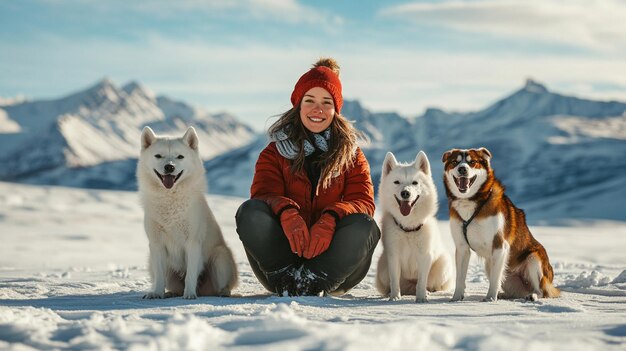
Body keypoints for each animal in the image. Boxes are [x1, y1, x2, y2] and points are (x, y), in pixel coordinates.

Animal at [138, 126, 238, 300]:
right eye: (158, 156)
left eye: (180, 156)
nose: (169, 167)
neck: (170, 199)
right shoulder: (156, 245)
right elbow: (159, 276)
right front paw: (156, 293)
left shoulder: (193, 242)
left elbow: (191, 274)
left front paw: (190, 294)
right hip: (156, 264)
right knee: (170, 283)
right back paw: (169, 293)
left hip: (220, 258)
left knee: (221, 285)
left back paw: (221, 292)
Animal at [372, 151, 450, 302]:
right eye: (397, 182)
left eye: (415, 183)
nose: (405, 193)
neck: (408, 227)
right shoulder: (393, 256)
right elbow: (394, 280)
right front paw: (394, 297)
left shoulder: (425, 256)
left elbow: (422, 281)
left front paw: (421, 298)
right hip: (382, 268)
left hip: (442, 265)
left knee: (429, 284)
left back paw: (428, 292)